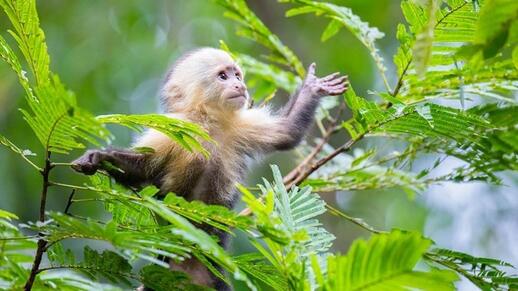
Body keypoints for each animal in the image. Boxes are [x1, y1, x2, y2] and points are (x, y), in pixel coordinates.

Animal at [72, 47, 350, 290]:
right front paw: (98, 158)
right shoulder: (174, 129)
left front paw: (312, 87)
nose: (240, 86)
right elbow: (142, 171)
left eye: (237, 75)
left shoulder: (239, 126)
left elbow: (286, 133)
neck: (209, 123)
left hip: (212, 272)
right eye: (223, 76)